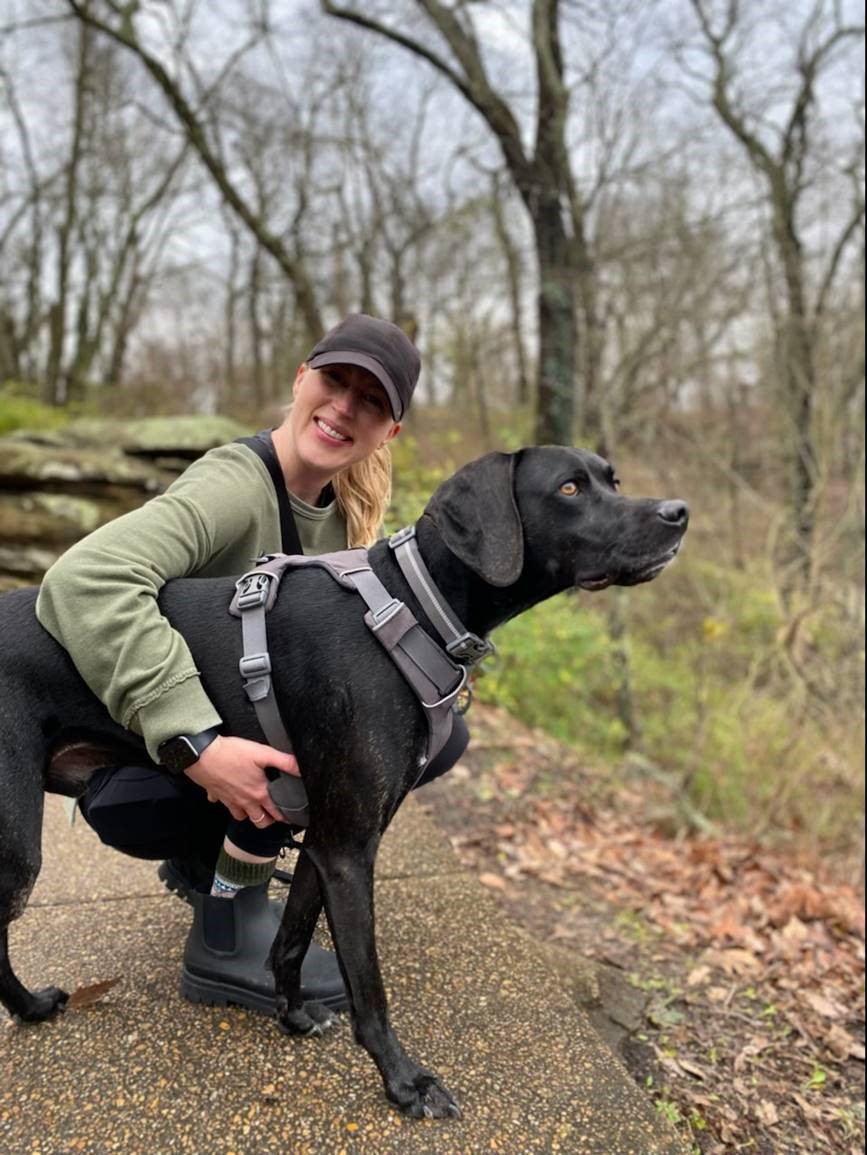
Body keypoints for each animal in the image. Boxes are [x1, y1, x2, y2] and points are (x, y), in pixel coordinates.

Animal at [1, 448, 692, 1118]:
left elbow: (289, 942)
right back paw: (30, 1008)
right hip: (18, 847)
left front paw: (293, 1014)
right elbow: (370, 987)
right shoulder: (350, 850)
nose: (678, 513)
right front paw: (404, 1083)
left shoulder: (326, 838)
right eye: (570, 489)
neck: (413, 606)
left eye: (612, 479)